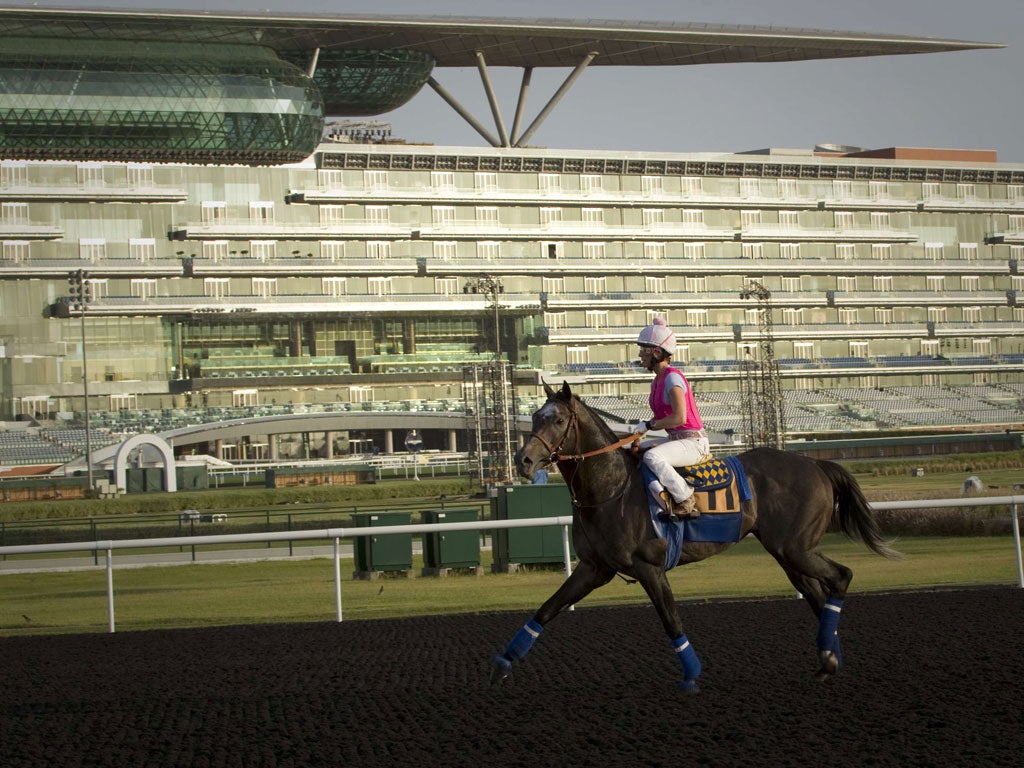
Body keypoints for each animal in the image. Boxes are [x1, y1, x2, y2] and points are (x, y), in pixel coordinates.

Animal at [491, 382, 901, 692]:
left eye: (558, 419)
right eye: (535, 417)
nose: (523, 460)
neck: (611, 488)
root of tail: (816, 464)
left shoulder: (649, 568)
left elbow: (671, 620)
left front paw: (691, 676)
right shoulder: (594, 568)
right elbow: (546, 609)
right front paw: (502, 663)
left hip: (794, 548)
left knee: (840, 577)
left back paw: (830, 656)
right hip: (788, 552)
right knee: (818, 593)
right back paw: (828, 658)